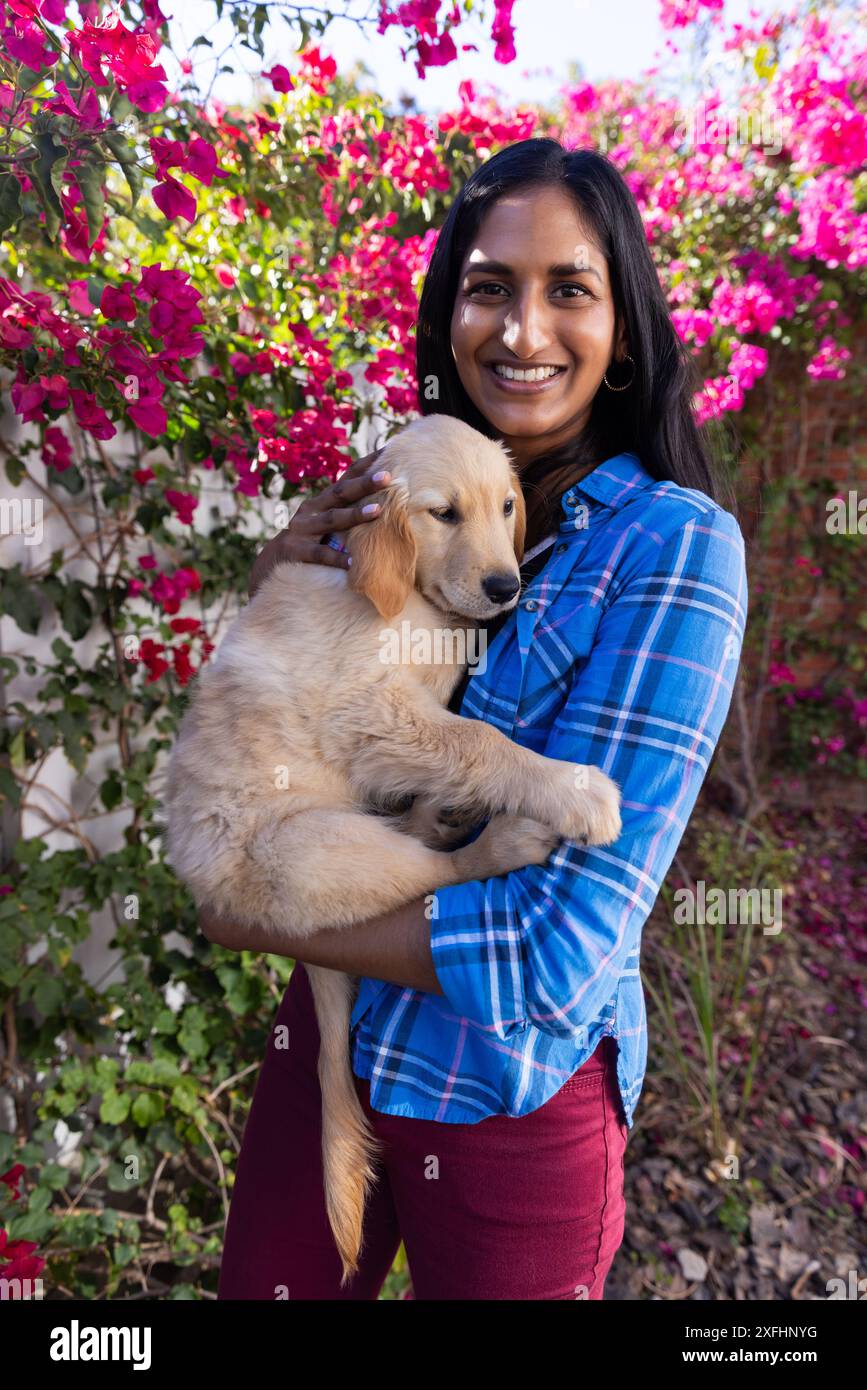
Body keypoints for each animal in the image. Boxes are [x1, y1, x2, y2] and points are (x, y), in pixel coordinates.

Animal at [163, 411, 622, 1278]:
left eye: (505, 506)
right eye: (443, 514)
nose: (506, 589)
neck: (407, 594)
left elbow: (466, 730)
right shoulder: (369, 710)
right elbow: (479, 740)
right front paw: (572, 788)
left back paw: (439, 814)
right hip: (314, 848)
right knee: (430, 874)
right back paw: (497, 836)